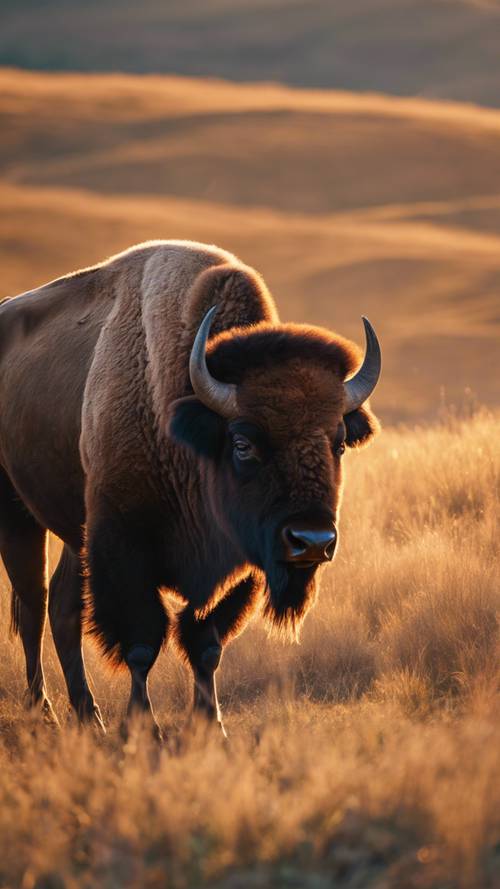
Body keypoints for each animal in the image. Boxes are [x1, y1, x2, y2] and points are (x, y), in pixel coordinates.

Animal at [0, 239, 380, 732]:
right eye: (242, 443)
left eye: (338, 443)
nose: (311, 540)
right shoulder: (124, 552)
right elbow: (142, 645)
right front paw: (143, 728)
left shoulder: (237, 565)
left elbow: (206, 645)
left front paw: (211, 726)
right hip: (17, 516)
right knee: (33, 603)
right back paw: (42, 710)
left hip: (72, 533)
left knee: (62, 608)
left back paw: (89, 716)